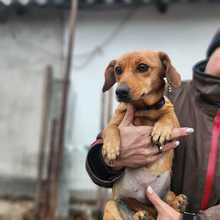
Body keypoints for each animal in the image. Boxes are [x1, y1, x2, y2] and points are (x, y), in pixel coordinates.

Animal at [101, 50, 187, 220]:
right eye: (118, 70)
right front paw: (110, 148)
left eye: (142, 67)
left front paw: (161, 130)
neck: (142, 109)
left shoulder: (174, 118)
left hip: (166, 194)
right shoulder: (113, 122)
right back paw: (140, 215)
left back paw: (178, 203)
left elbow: (167, 117)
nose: (120, 92)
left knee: (168, 200)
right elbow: (111, 128)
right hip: (111, 204)